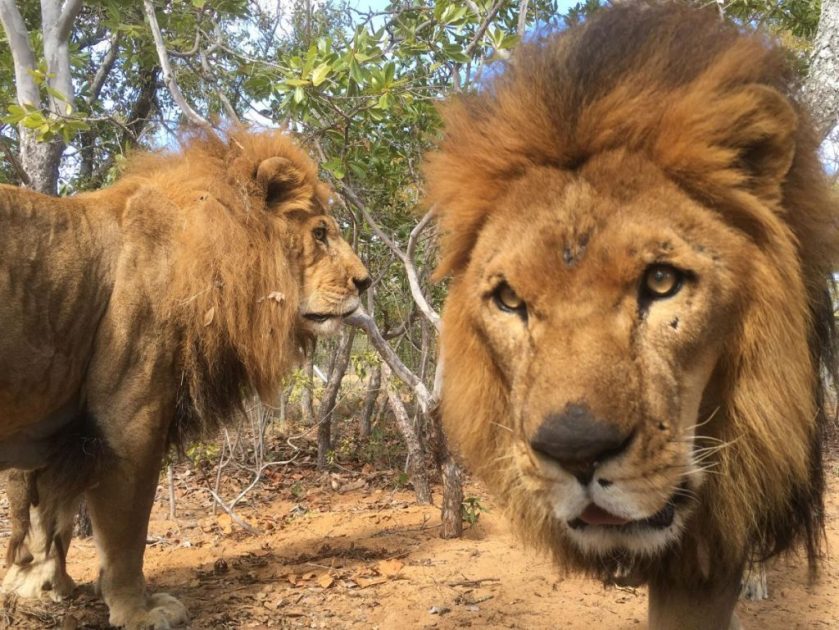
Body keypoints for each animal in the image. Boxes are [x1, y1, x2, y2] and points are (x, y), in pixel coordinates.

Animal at [0, 128, 370, 628]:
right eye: (320, 232)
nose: (365, 281)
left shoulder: (53, 428)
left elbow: (45, 516)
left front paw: (39, 587)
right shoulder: (128, 423)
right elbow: (124, 535)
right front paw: (137, 610)